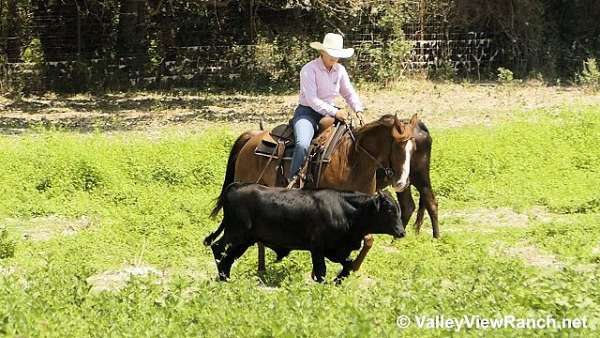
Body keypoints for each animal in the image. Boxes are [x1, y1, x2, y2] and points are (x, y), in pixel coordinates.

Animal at [204, 182, 406, 282]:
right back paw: (222, 277)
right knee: (218, 248)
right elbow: (321, 271)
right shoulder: (317, 248)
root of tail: (237, 187)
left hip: (245, 240)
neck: (345, 210)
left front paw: (338, 281)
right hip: (236, 233)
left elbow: (348, 264)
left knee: (228, 256)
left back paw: (226, 278)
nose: (402, 232)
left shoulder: (335, 250)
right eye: (389, 209)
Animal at [209, 115, 420, 274]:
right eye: (398, 147)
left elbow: (368, 240)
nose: (402, 183)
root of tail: (252, 136)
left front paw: (352, 269)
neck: (352, 160)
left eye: (414, 149)